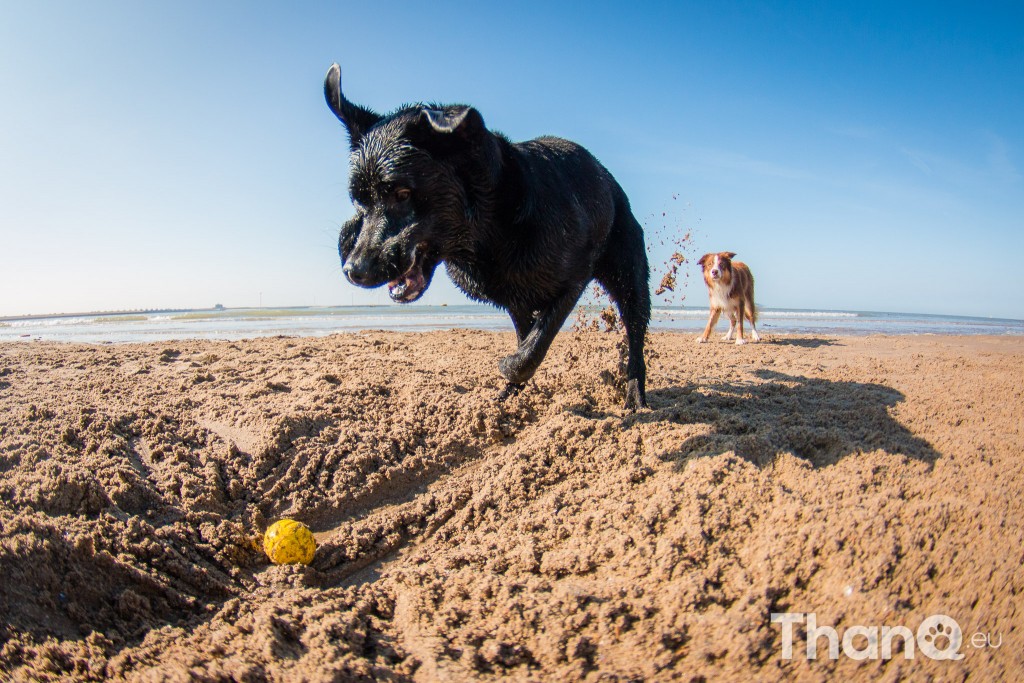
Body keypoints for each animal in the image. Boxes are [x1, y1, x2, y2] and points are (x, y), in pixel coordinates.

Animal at [323, 63, 651, 409]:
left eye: (402, 193)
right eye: (358, 200)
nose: (354, 270)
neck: (491, 232)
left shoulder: (572, 281)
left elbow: (533, 348)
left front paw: (508, 366)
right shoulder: (516, 301)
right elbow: (527, 341)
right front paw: (510, 390)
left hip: (630, 276)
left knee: (635, 335)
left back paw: (635, 396)